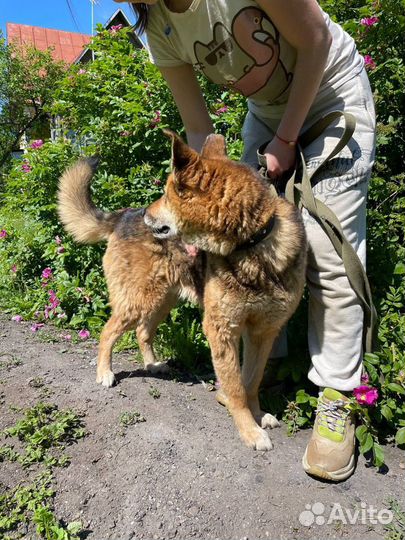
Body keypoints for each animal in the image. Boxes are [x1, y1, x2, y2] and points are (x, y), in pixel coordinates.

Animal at [58, 157, 204, 388]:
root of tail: (124, 215)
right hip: (137, 302)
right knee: (108, 333)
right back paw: (105, 372)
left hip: (161, 299)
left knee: (142, 332)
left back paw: (153, 365)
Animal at [145, 132, 306, 452]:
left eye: (168, 194)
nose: (144, 213)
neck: (252, 243)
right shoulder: (222, 328)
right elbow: (236, 385)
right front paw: (249, 429)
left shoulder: (263, 331)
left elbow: (251, 380)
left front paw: (257, 414)